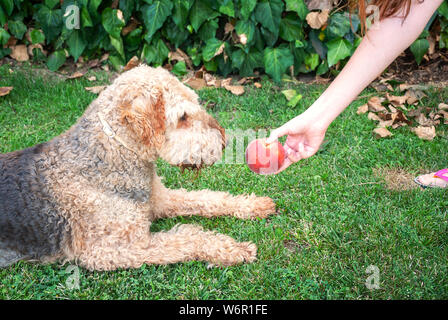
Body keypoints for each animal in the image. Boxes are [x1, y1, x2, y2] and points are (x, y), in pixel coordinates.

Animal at [0, 64, 276, 270]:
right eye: (182, 117)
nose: (223, 141)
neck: (111, 157)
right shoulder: (113, 250)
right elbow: (188, 237)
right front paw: (233, 248)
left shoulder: (159, 200)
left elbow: (208, 198)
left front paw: (253, 205)